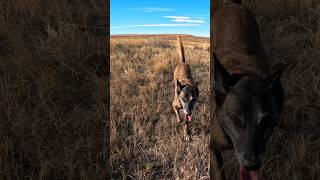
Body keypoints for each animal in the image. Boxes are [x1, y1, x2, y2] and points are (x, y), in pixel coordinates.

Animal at [210, 0, 284, 180]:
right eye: (235, 118)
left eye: (265, 120)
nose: (252, 166)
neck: (245, 73)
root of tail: (231, 4)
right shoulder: (213, 146)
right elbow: (219, 173)